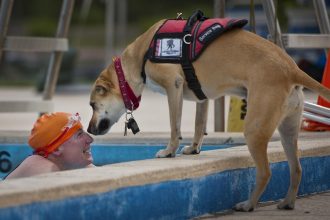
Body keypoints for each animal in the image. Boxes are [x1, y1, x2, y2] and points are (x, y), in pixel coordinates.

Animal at [87, 14, 330, 211]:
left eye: (92, 105)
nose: (88, 129)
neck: (141, 54)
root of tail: (291, 68)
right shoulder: (201, 96)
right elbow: (198, 124)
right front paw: (194, 149)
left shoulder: (173, 86)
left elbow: (175, 126)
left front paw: (169, 151)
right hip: (289, 129)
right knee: (297, 169)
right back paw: (288, 202)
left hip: (254, 129)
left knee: (265, 172)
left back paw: (248, 205)